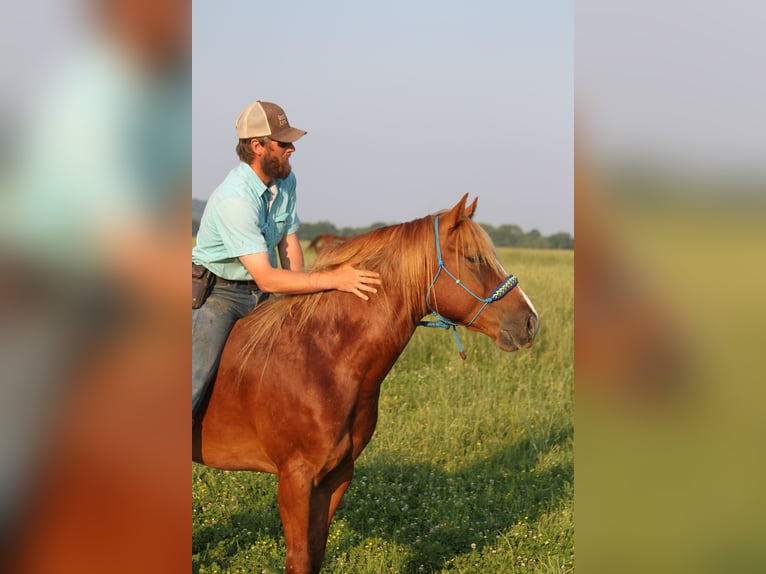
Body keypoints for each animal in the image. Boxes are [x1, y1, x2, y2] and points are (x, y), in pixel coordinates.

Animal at [192, 196, 540, 572]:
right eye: (474, 258)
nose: (530, 322)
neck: (321, 358)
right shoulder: (295, 479)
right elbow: (299, 559)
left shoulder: (336, 476)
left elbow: (315, 554)